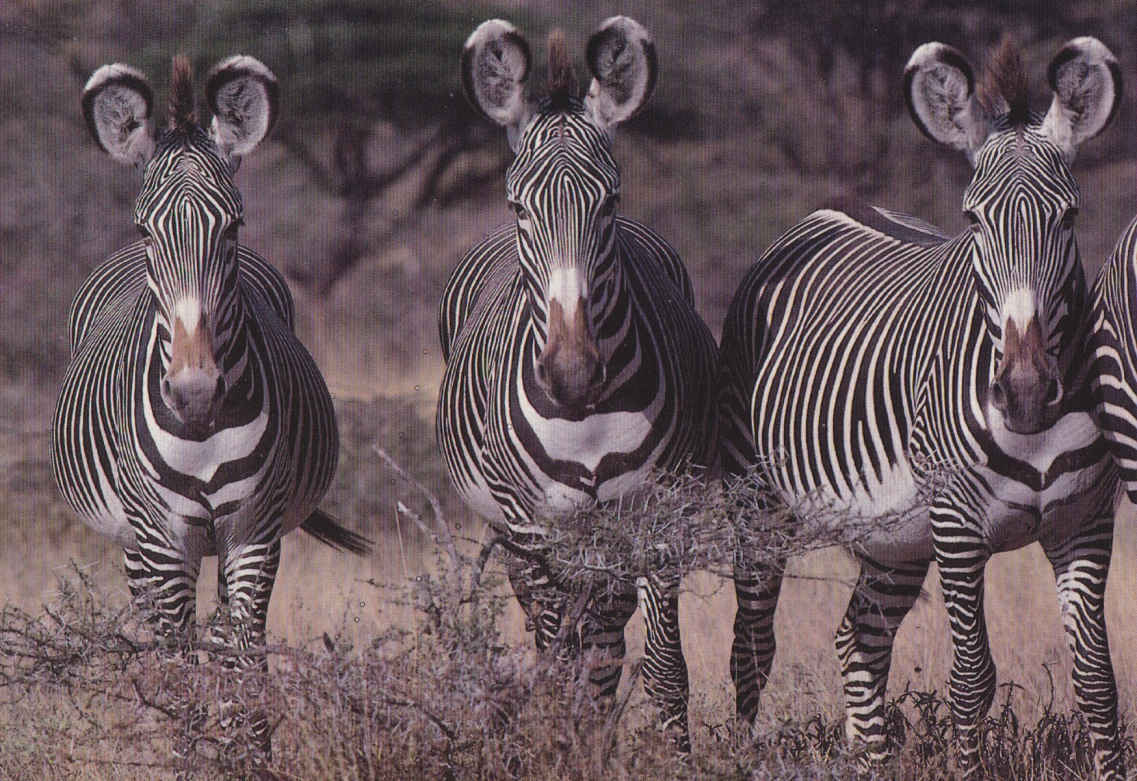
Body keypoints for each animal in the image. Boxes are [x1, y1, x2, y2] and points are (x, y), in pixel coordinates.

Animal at [52, 56, 363, 763]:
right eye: (145, 229)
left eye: (234, 226)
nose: (195, 394)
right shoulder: (163, 544)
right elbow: (178, 672)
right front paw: (184, 753)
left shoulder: (253, 532)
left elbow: (243, 662)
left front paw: (250, 759)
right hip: (136, 542)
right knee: (158, 643)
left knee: (223, 643)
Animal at [436, 16, 718, 750]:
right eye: (517, 206)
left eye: (609, 201)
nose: (570, 373)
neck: (586, 418)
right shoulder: (533, 530)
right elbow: (559, 660)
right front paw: (564, 746)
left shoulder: (655, 519)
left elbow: (661, 667)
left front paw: (671, 754)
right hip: (513, 533)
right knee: (566, 641)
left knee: (606, 641)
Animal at [718, 35, 1118, 777]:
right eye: (972, 219)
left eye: (1069, 216)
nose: (1024, 390)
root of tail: (831, 208)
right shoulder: (958, 527)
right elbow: (972, 680)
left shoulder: (1085, 522)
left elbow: (1096, 679)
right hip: (756, 501)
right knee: (751, 645)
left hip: (894, 535)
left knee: (858, 640)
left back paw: (869, 761)